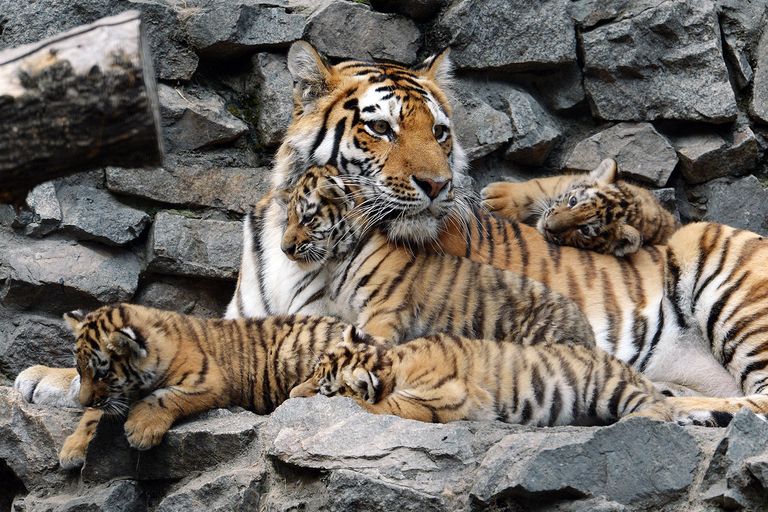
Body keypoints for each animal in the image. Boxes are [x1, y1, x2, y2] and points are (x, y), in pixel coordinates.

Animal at [55, 303, 350, 470]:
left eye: (102, 374)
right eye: (80, 371)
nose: (80, 401)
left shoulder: (207, 380)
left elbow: (164, 397)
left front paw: (141, 429)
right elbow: (94, 414)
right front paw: (72, 448)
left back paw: (298, 391)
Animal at [487, 158, 680, 256]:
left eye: (585, 230)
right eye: (573, 201)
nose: (548, 226)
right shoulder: (562, 182)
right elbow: (537, 186)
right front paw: (495, 198)